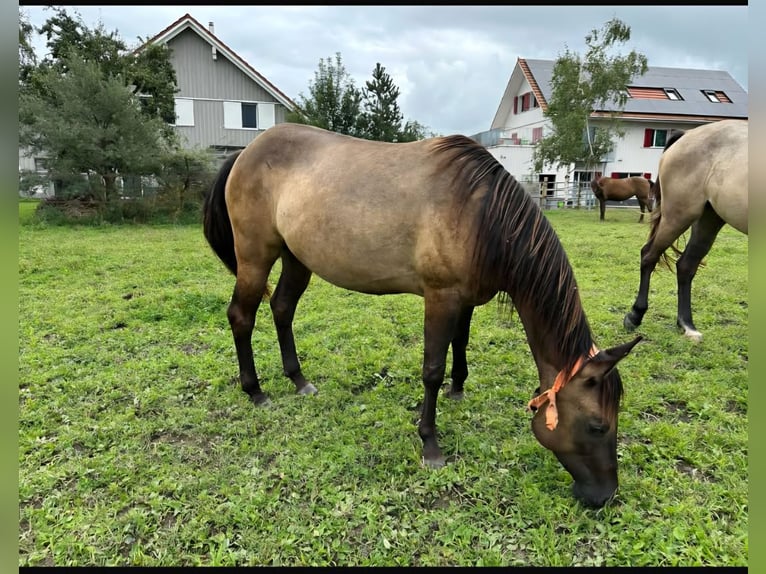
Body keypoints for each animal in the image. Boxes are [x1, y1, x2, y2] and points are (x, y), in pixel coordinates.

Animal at [202, 123, 642, 508]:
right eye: (598, 425)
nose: (606, 496)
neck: (482, 214)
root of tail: (246, 152)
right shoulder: (440, 297)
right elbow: (432, 368)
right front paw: (430, 442)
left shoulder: (465, 299)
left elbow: (460, 344)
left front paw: (458, 388)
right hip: (255, 257)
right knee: (241, 317)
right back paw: (255, 391)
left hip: (296, 259)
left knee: (282, 309)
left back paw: (298, 379)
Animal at [623, 119, 748, 341]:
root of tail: (687, 135)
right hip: (678, 216)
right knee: (649, 255)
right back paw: (635, 315)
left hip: (708, 219)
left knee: (686, 265)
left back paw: (686, 324)